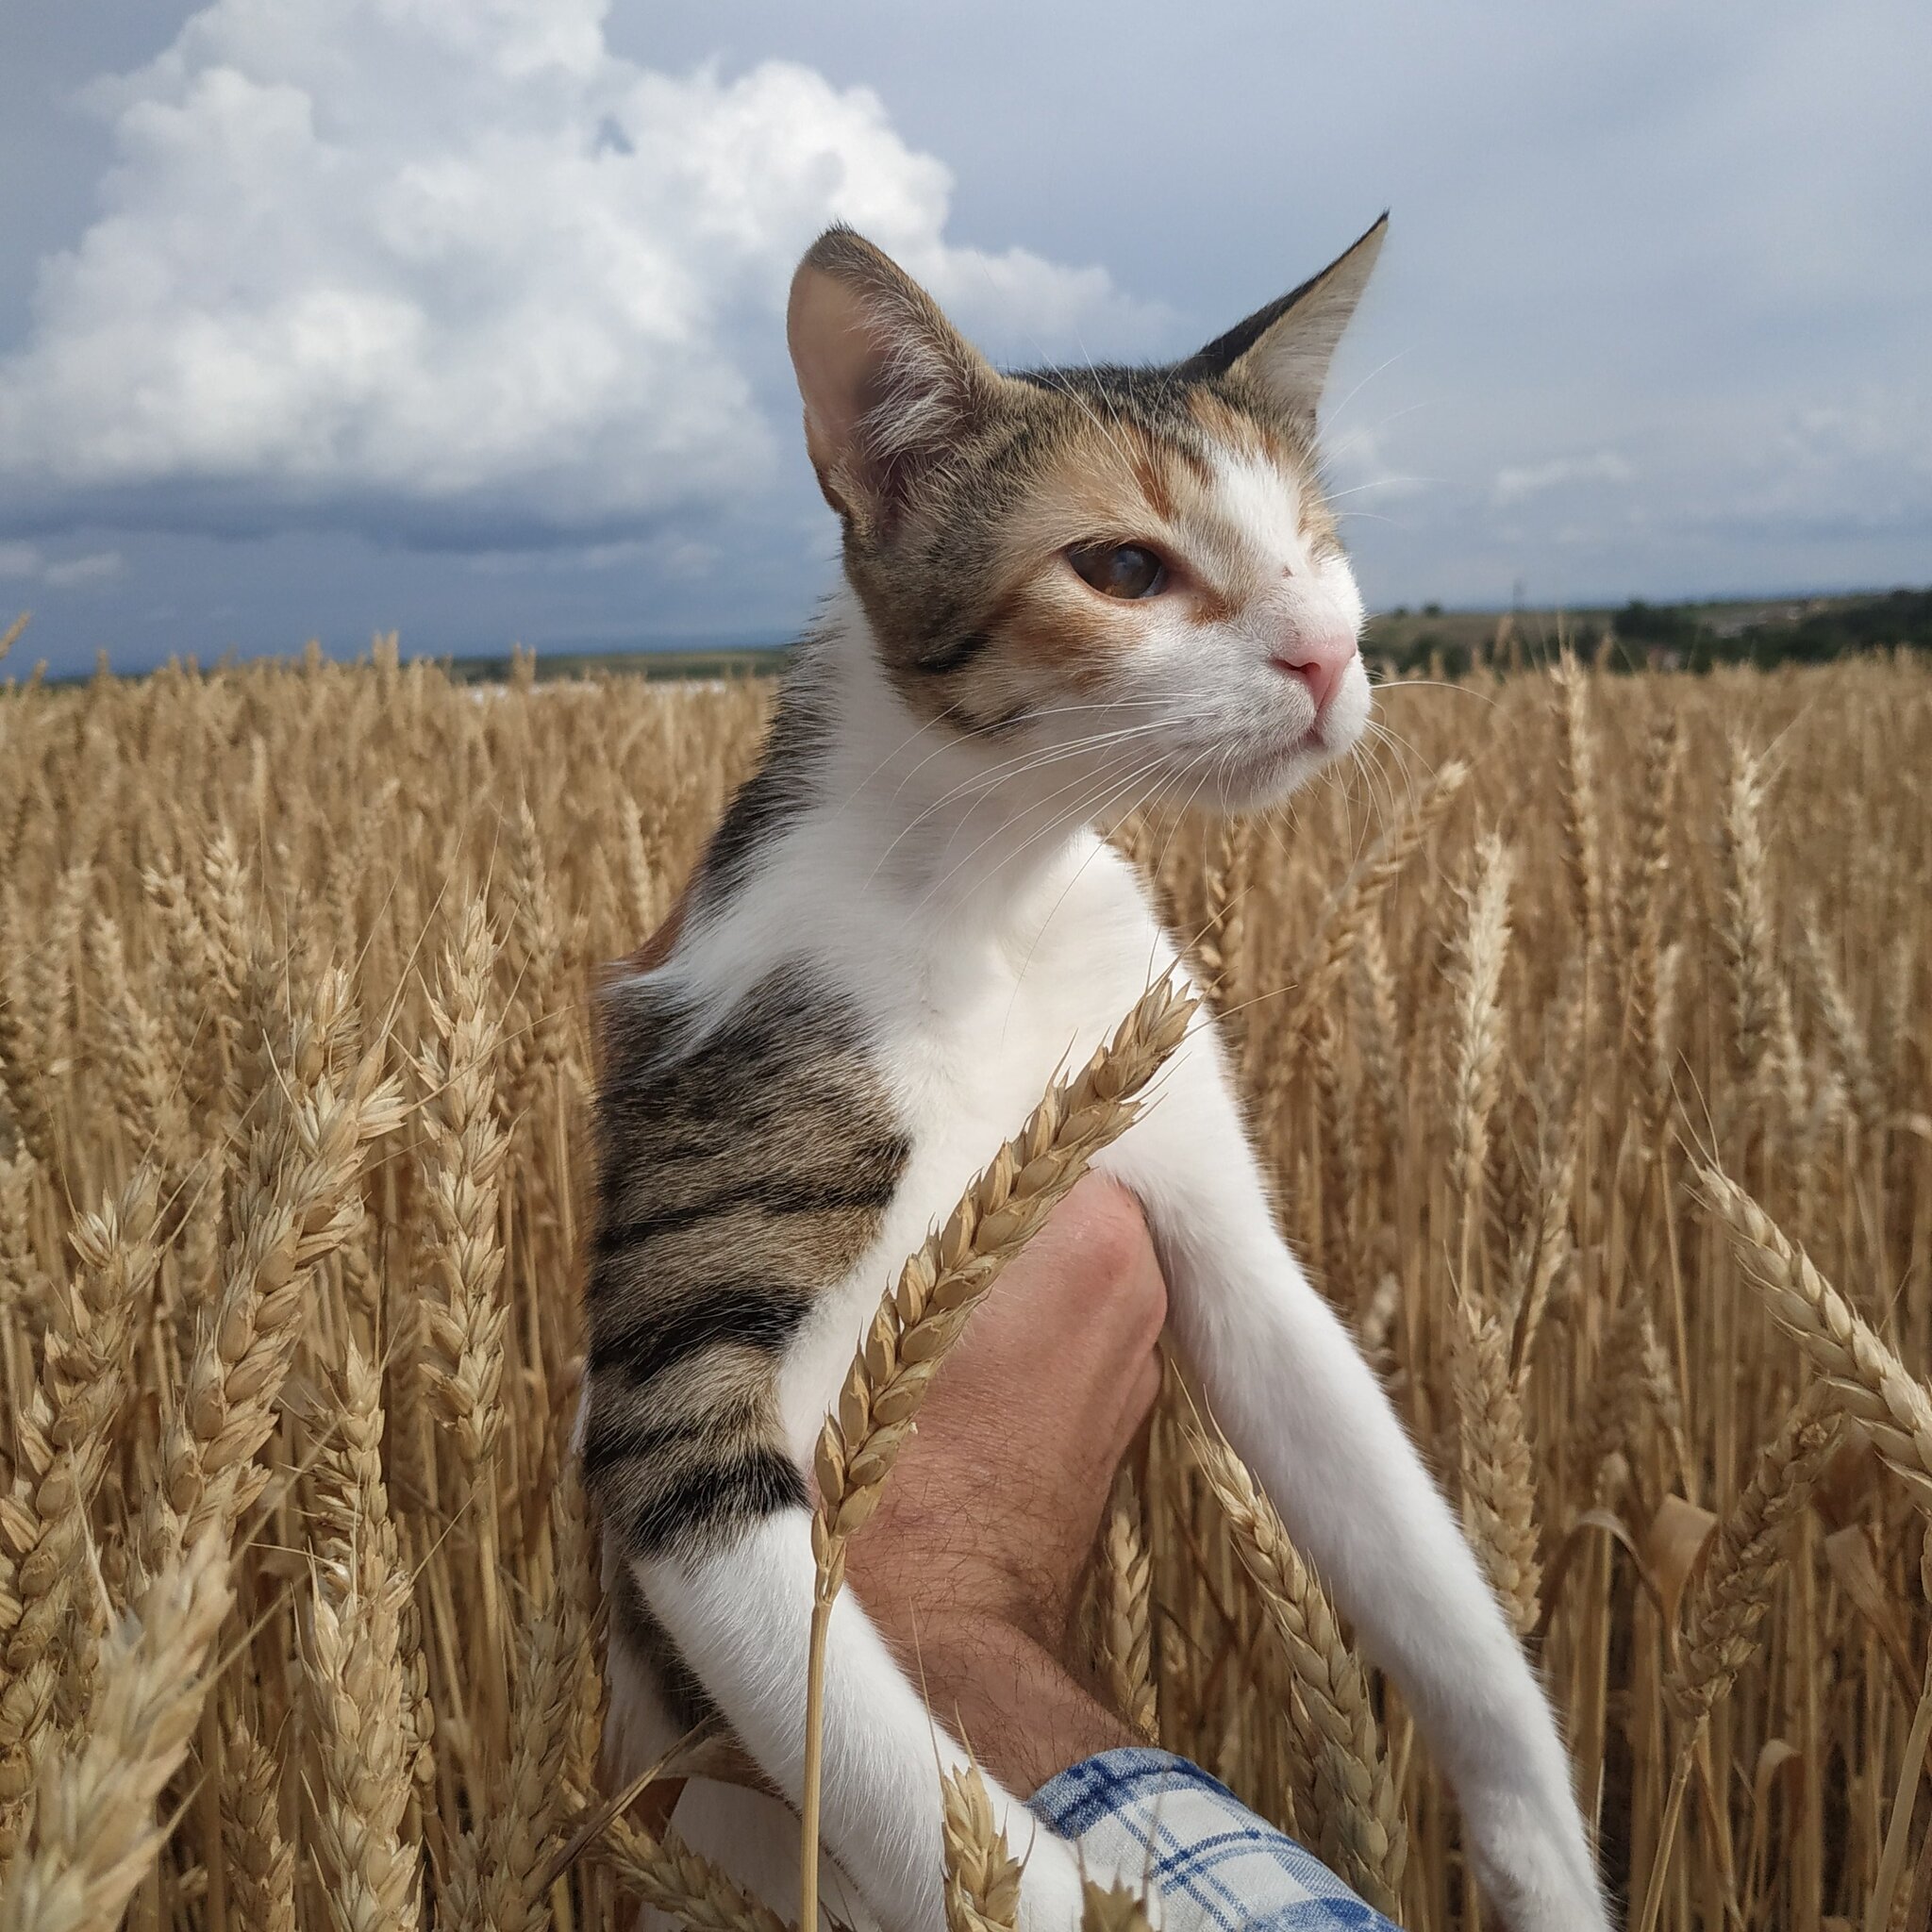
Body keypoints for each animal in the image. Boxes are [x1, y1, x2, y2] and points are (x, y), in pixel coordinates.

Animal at [579, 215, 1607, 1932]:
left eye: (1315, 544)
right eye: (1122, 568)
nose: (1329, 651)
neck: (995, 888)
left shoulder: (1225, 1236)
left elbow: (1437, 1589)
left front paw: (1546, 1860)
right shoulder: (681, 1427)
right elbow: (919, 1797)